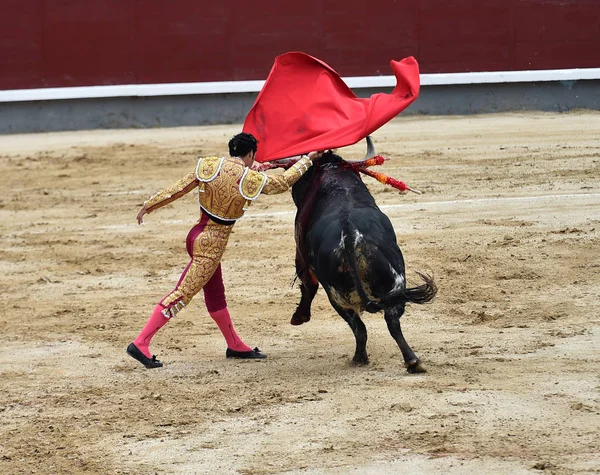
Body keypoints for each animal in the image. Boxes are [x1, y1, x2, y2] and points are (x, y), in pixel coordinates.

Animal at [290, 151, 436, 374]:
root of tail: (350, 235)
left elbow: (308, 286)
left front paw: (300, 316)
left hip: (339, 295)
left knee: (361, 327)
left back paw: (363, 358)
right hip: (394, 283)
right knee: (390, 321)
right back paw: (411, 361)